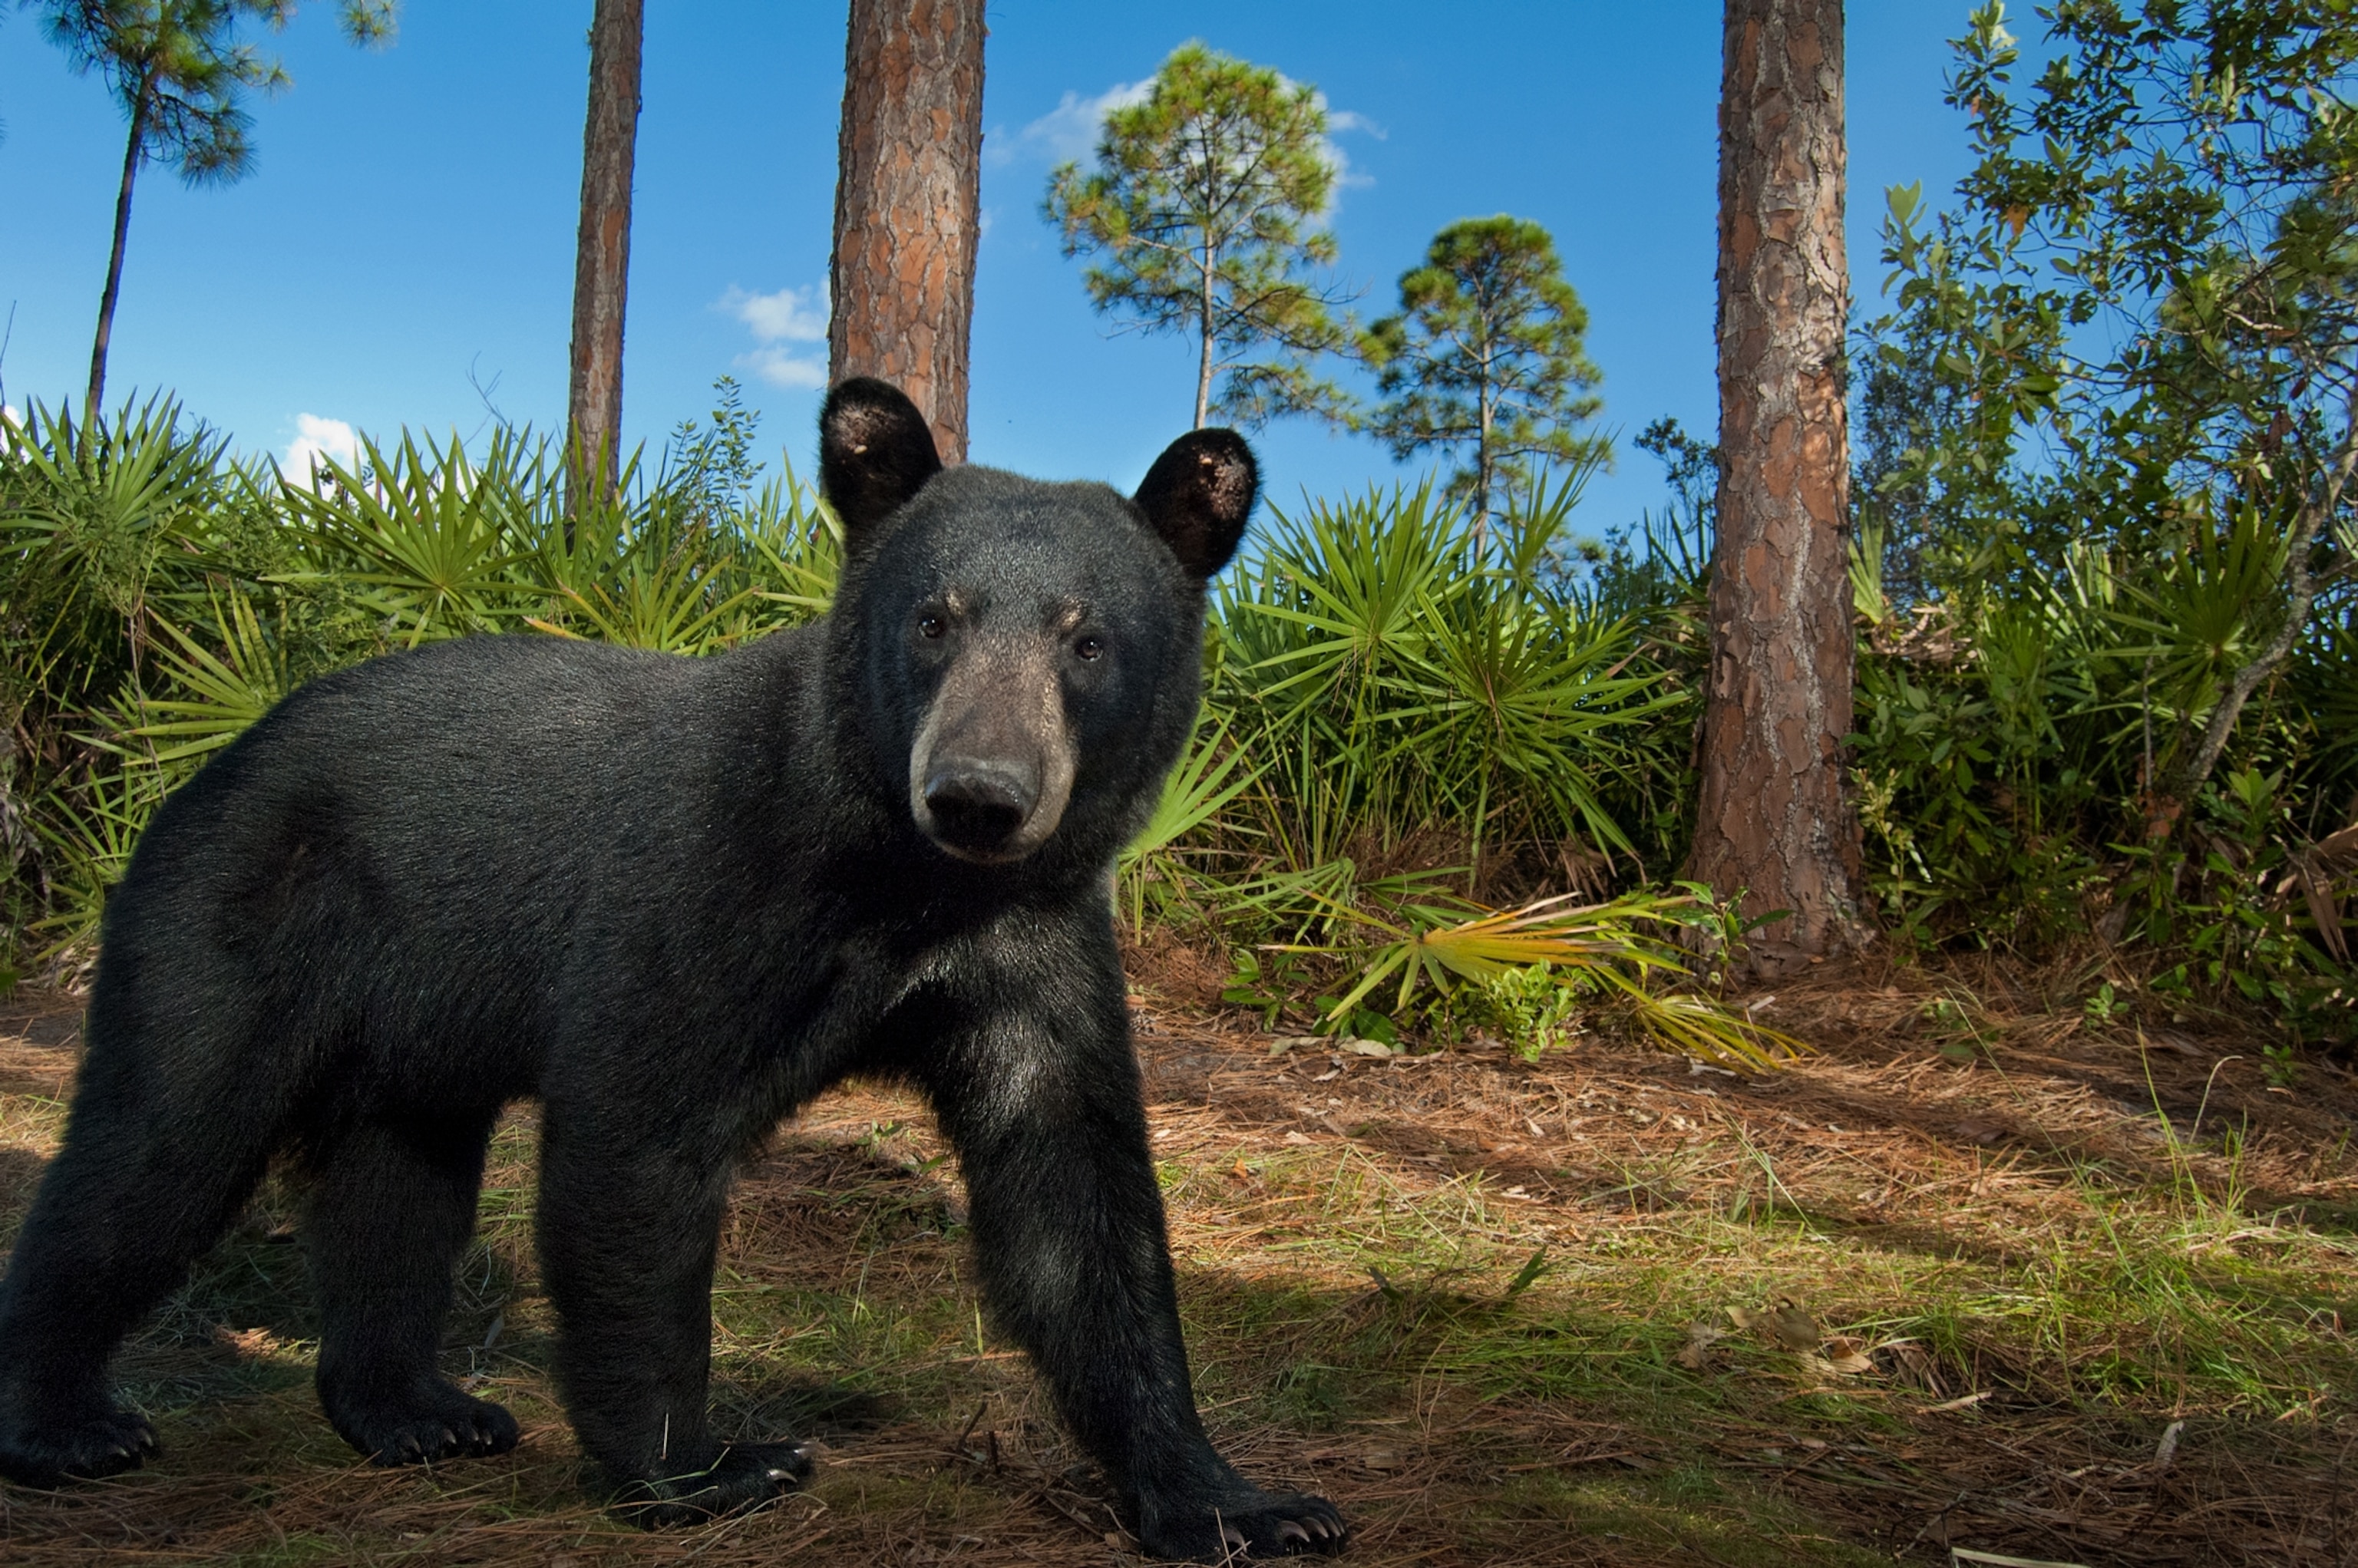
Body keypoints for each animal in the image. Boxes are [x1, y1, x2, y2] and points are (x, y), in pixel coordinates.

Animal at [0, 377, 1349, 1556]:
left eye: (1087, 639)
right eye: (934, 617)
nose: (979, 794)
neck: (904, 883)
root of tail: (215, 758)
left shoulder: (1030, 947)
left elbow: (1073, 1195)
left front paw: (1241, 1500)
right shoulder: (705, 878)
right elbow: (638, 1133)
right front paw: (706, 1462)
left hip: (413, 1025)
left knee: (398, 1189)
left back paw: (419, 1408)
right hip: (231, 922)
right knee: (155, 1150)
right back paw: (68, 1419)